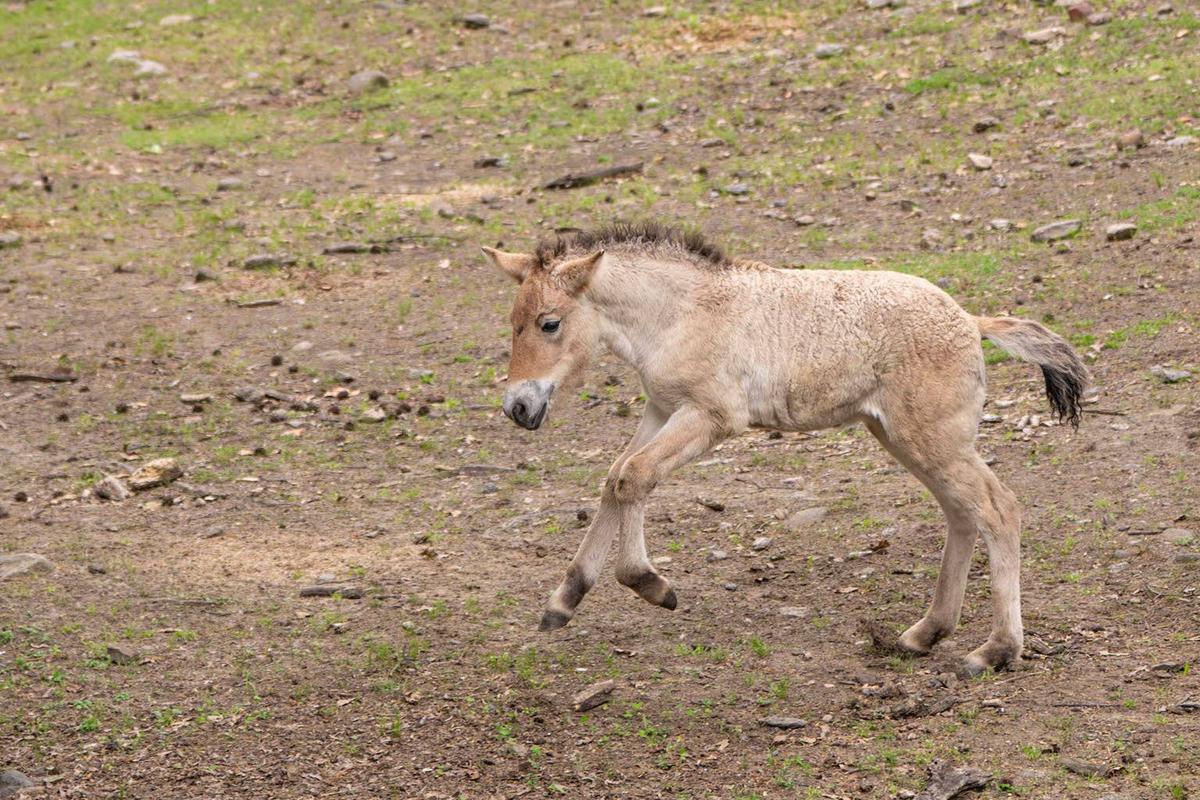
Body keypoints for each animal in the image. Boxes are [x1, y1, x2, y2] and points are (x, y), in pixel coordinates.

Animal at [482, 221, 1087, 675]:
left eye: (549, 323)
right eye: (511, 323)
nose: (518, 407)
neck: (682, 312)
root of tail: (970, 319)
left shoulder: (711, 417)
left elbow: (634, 477)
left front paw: (651, 585)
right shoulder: (660, 408)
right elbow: (617, 477)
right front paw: (564, 601)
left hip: (930, 439)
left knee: (998, 509)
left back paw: (995, 651)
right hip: (904, 438)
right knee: (963, 515)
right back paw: (924, 633)